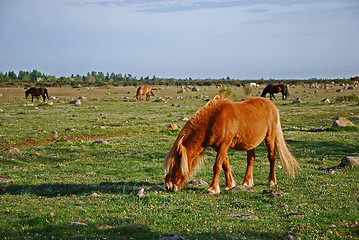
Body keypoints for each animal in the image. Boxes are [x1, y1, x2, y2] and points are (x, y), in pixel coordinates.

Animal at [165, 94, 300, 194]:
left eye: (174, 166)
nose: (167, 186)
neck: (214, 120)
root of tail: (271, 105)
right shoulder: (219, 147)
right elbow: (225, 165)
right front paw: (229, 185)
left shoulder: (223, 146)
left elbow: (217, 166)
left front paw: (212, 189)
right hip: (250, 143)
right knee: (251, 159)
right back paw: (246, 182)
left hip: (270, 138)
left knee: (271, 157)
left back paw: (271, 181)